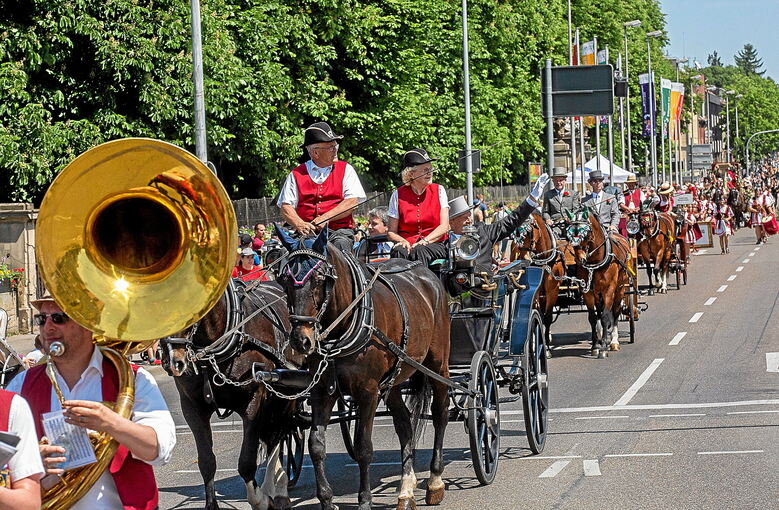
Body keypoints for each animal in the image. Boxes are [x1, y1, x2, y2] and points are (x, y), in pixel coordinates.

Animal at [161, 278, 302, 510]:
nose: (173, 362)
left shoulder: (254, 401)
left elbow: (246, 462)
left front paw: (261, 500)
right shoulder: (192, 407)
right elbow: (206, 461)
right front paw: (212, 505)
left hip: (286, 396)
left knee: (278, 436)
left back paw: (277, 490)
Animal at [276, 228, 450, 510]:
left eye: (319, 278)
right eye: (283, 280)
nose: (301, 340)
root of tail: (428, 275)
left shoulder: (367, 391)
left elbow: (363, 448)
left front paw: (365, 500)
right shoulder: (321, 391)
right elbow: (316, 445)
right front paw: (327, 500)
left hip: (437, 364)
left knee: (440, 413)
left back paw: (435, 480)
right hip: (393, 379)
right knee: (404, 424)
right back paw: (406, 489)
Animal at [568, 209, 632, 356]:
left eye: (586, 232)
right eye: (568, 233)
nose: (580, 260)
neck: (595, 263)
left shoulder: (608, 290)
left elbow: (605, 317)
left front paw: (603, 347)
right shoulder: (588, 292)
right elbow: (593, 317)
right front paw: (595, 345)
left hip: (620, 289)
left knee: (615, 311)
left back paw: (613, 341)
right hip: (598, 294)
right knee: (599, 310)